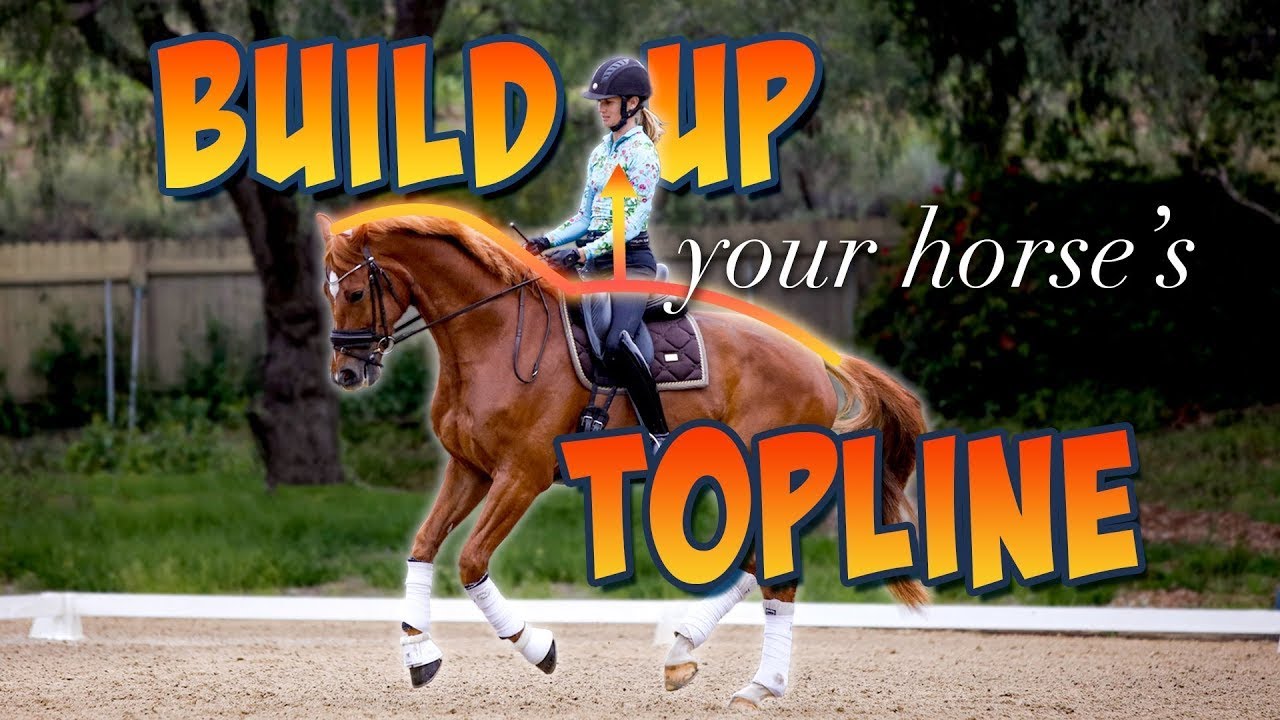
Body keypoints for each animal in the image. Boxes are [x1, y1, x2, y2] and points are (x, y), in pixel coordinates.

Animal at [319, 211, 929, 709]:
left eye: (354, 293)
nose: (347, 373)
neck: (493, 339)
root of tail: (817, 361)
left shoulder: (521, 476)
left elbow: (470, 561)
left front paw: (538, 646)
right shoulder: (469, 470)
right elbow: (423, 546)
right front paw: (419, 655)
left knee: (774, 570)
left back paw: (760, 684)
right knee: (757, 564)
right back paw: (684, 653)